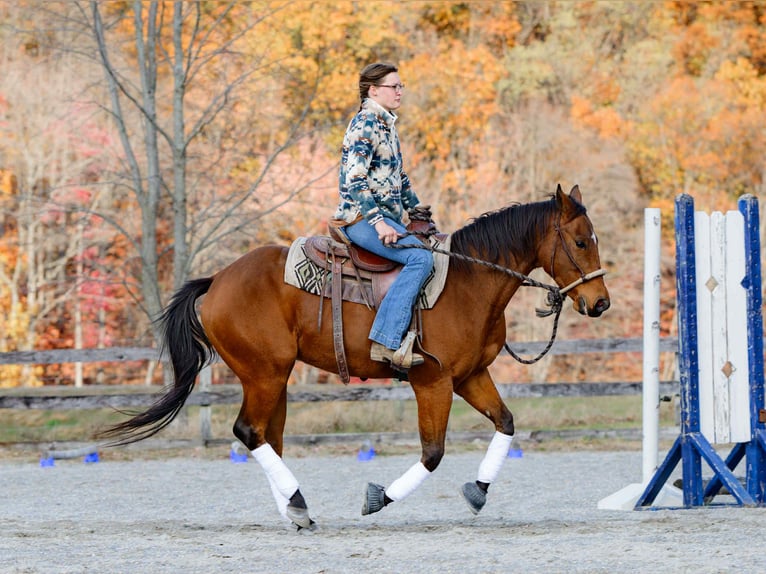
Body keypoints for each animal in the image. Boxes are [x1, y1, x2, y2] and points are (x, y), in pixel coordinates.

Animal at [101, 184, 610, 529]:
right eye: (581, 241)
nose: (600, 303)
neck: (469, 282)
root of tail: (218, 281)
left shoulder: (470, 377)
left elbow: (505, 423)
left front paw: (478, 491)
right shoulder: (433, 383)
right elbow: (432, 453)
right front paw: (379, 497)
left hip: (274, 378)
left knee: (267, 437)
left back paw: (295, 510)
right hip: (264, 374)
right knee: (249, 431)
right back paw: (297, 504)